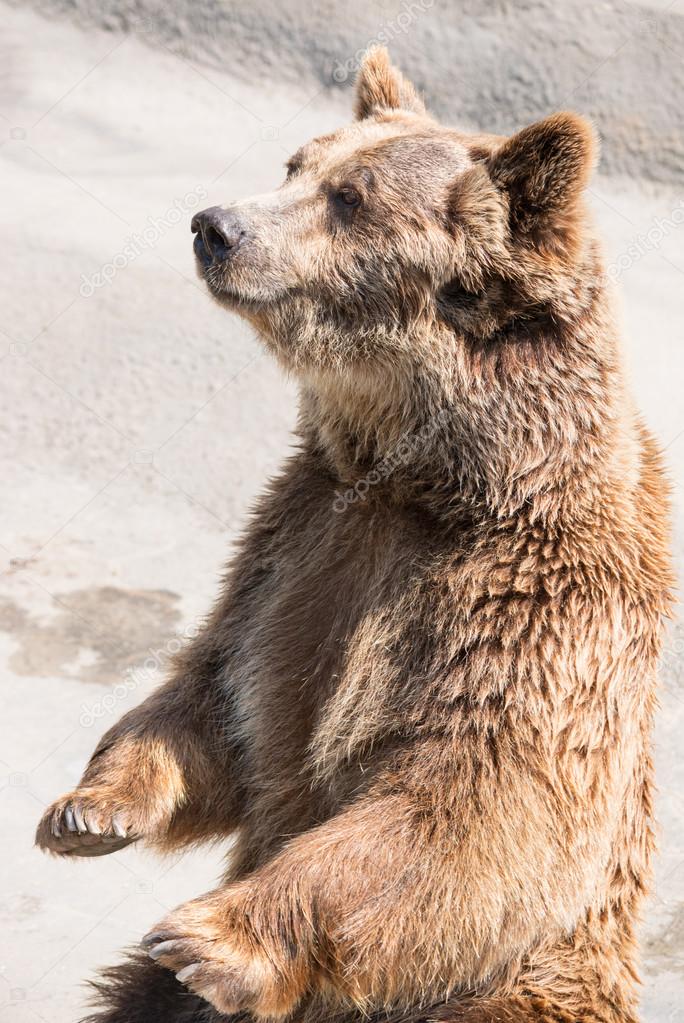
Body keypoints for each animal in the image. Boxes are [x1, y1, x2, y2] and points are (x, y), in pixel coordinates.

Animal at [37, 46, 670, 1023]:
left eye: (352, 197)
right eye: (298, 163)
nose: (216, 225)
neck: (426, 474)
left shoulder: (535, 603)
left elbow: (475, 803)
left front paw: (209, 936)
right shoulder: (296, 545)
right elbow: (219, 693)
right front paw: (92, 806)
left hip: (516, 992)